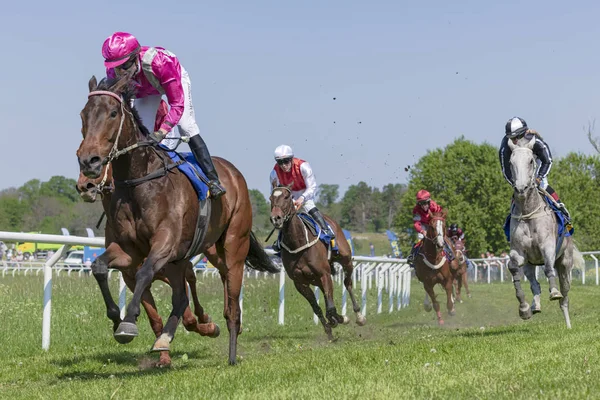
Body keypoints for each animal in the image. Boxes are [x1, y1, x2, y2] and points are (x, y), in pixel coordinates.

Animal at [75, 164, 218, 368]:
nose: (83, 186)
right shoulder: (132, 279)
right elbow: (155, 319)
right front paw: (163, 356)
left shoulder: (169, 271)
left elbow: (186, 313)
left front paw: (206, 326)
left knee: (196, 278)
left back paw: (206, 319)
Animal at [268, 184, 366, 338]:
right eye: (270, 198)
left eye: (287, 197)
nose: (276, 218)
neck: (298, 243)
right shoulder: (300, 283)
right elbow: (317, 308)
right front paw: (330, 330)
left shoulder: (324, 274)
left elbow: (330, 308)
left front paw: (341, 319)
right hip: (316, 279)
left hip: (346, 260)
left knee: (347, 283)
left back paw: (359, 316)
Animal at [504, 136, 580, 326]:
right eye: (511, 162)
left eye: (531, 161)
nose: (521, 189)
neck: (528, 211)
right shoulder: (519, 252)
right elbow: (513, 267)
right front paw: (524, 308)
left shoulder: (548, 247)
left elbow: (547, 268)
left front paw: (553, 291)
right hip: (530, 265)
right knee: (534, 283)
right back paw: (535, 305)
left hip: (565, 262)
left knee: (565, 295)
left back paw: (568, 323)